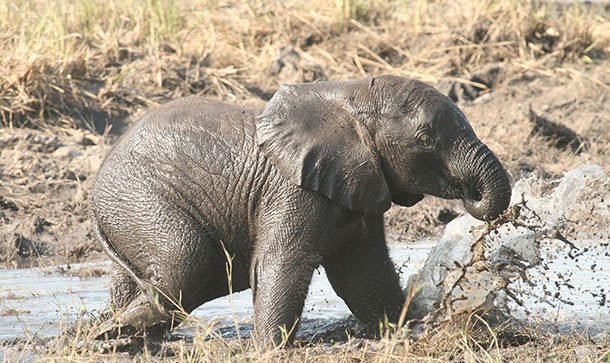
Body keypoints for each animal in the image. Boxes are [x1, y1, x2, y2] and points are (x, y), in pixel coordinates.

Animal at [89, 74, 508, 346]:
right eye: (425, 140)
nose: (467, 196)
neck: (349, 97)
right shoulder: (293, 190)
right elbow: (281, 262)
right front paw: (267, 349)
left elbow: (364, 275)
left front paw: (409, 329)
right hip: (140, 197)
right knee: (187, 261)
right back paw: (108, 333)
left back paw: (119, 336)